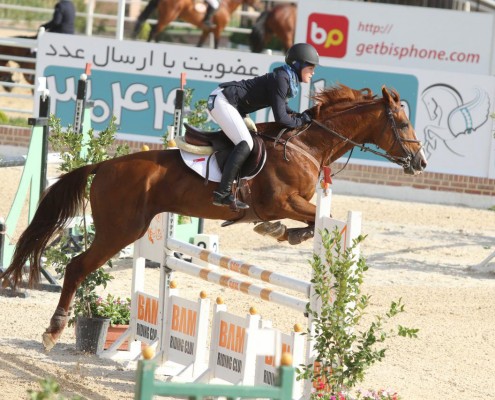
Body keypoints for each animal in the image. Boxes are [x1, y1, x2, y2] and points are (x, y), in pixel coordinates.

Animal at [0, 84, 427, 351]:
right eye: (403, 123)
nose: (421, 163)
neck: (306, 144)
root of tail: (104, 165)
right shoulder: (283, 200)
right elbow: (317, 218)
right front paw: (279, 231)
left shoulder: (295, 203)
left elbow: (314, 221)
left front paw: (281, 233)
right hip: (120, 231)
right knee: (75, 267)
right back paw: (53, 331)